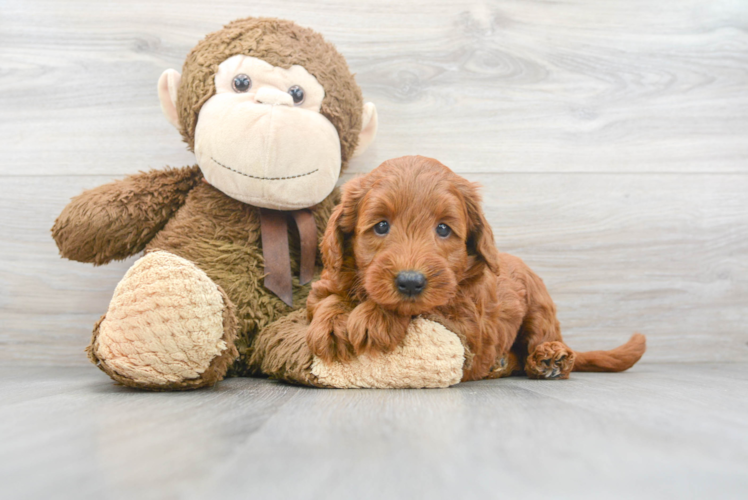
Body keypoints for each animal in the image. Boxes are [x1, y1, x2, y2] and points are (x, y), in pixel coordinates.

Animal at [306, 155, 644, 378]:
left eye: (443, 229)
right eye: (381, 226)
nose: (411, 282)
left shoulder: (468, 320)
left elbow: (421, 308)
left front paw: (375, 316)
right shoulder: (330, 281)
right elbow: (328, 298)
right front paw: (333, 323)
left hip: (539, 305)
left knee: (544, 340)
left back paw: (550, 358)